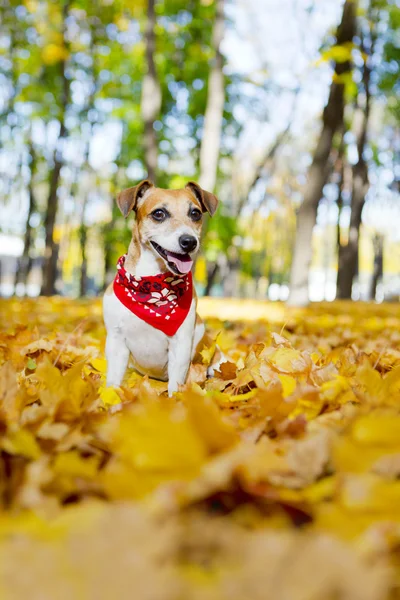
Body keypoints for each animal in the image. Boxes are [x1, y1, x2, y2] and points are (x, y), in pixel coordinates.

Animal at [103, 180, 220, 396]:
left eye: (195, 213)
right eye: (159, 213)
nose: (189, 241)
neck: (151, 285)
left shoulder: (180, 344)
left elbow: (176, 384)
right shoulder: (116, 341)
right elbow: (113, 380)